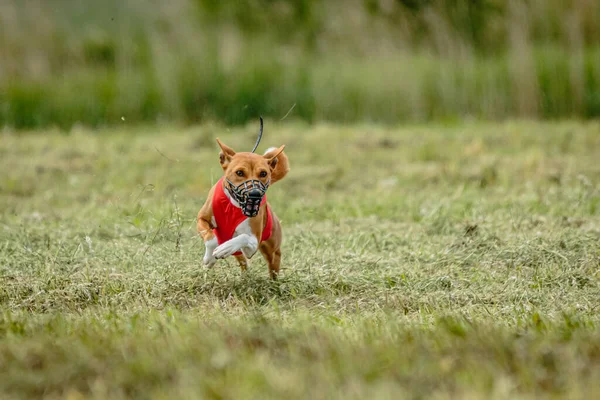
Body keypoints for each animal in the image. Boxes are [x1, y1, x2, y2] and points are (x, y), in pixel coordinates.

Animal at [196, 120, 290, 280]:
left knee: (272, 265)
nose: (254, 194)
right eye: (239, 172)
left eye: (263, 173)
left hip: (272, 251)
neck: (233, 206)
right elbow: (211, 238)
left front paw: (225, 247)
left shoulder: (253, 243)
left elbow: (243, 237)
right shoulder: (202, 219)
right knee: (243, 263)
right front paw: (209, 258)